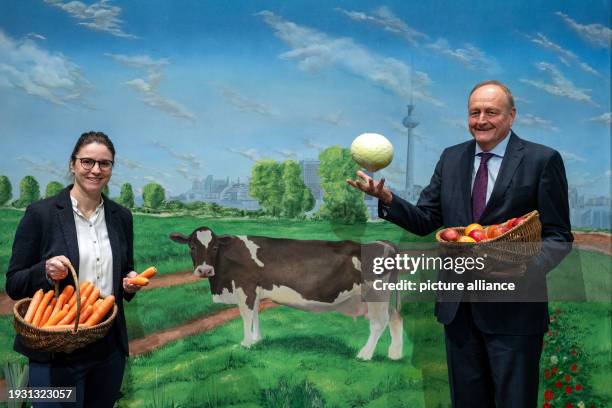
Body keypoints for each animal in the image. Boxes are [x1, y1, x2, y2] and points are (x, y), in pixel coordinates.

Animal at [170, 226, 404, 360]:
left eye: (215, 247)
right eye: (192, 246)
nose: (204, 270)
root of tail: (383, 243)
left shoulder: (246, 288)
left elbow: (246, 315)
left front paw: (246, 343)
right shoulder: (255, 291)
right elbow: (255, 315)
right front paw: (257, 340)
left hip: (375, 295)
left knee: (379, 323)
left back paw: (365, 354)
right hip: (385, 296)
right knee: (395, 318)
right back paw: (395, 354)